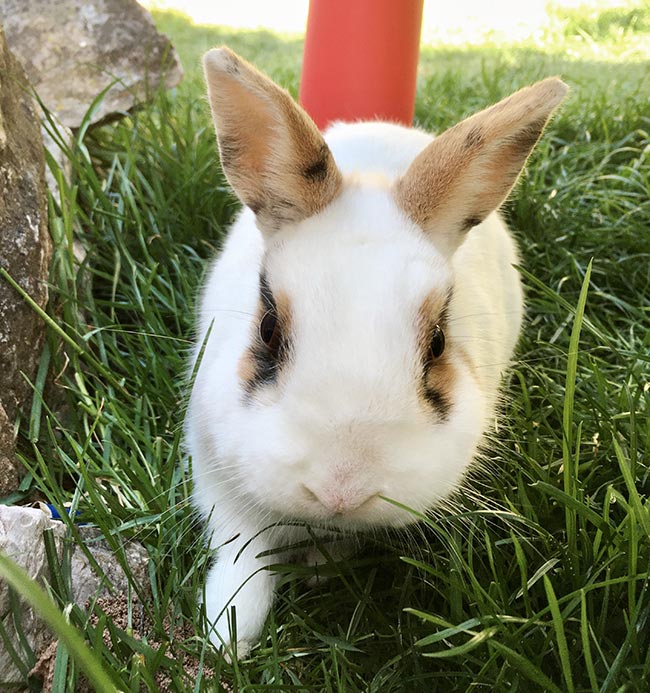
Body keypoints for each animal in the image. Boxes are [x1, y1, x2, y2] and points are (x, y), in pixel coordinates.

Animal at [185, 46, 564, 656]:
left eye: (438, 342)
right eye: (267, 330)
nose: (342, 489)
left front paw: (318, 568)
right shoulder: (218, 473)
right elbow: (243, 559)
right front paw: (228, 638)